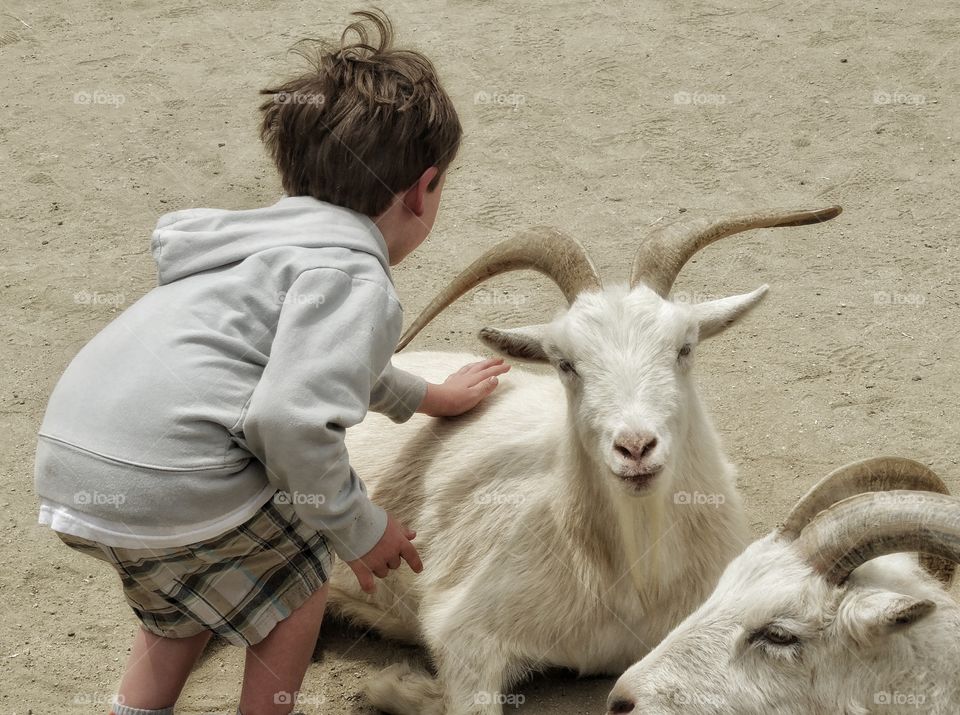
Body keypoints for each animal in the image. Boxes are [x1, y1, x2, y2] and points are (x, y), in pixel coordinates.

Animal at [330, 204, 840, 712]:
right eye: (565, 364)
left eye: (685, 347)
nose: (635, 447)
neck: (635, 580)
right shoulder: (462, 628)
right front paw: (399, 686)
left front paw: (401, 687)